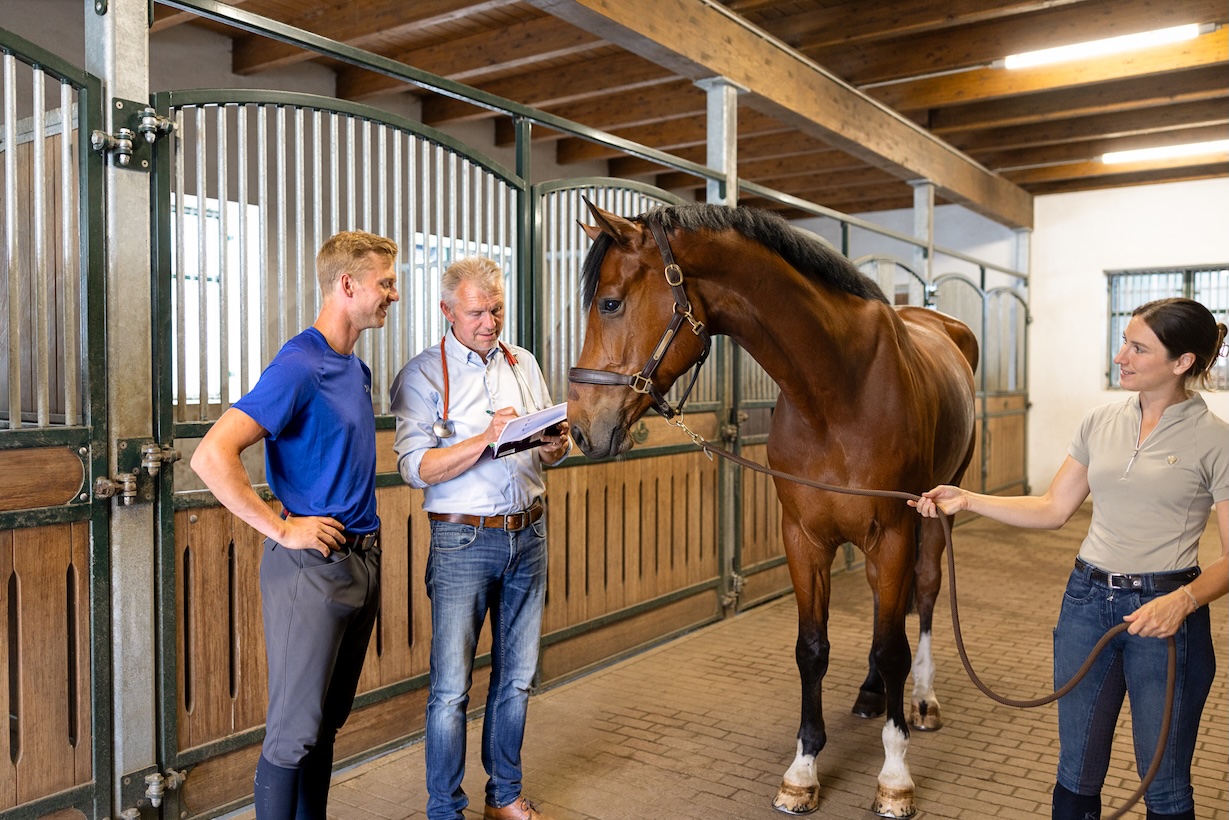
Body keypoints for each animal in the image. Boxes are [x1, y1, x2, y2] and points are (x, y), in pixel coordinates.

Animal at [566, 202, 978, 817]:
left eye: (610, 303)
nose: (580, 429)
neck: (837, 390)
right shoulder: (802, 538)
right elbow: (812, 650)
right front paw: (802, 772)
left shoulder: (893, 534)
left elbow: (893, 648)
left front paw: (895, 777)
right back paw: (869, 694)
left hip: (938, 511)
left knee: (925, 597)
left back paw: (923, 702)